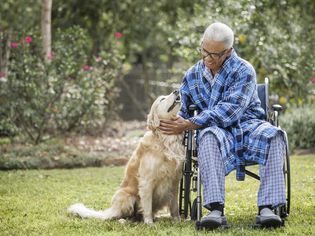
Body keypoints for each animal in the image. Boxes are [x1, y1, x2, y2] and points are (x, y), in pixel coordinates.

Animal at [67, 90, 185, 223]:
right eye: (162, 99)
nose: (177, 91)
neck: (165, 140)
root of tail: (113, 208)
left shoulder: (174, 181)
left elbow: (175, 205)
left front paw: (177, 220)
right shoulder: (146, 181)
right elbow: (147, 206)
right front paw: (149, 223)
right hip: (127, 197)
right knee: (122, 215)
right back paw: (125, 220)